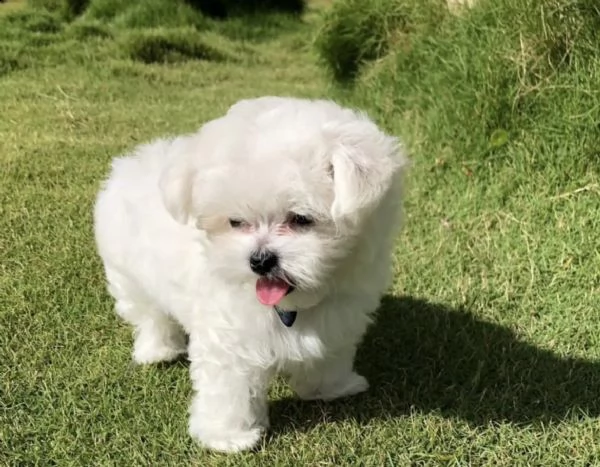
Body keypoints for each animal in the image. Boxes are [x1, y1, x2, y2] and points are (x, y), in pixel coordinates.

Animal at [94, 97, 408, 452]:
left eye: (301, 219)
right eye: (236, 222)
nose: (260, 260)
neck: (291, 306)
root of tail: (132, 163)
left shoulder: (339, 316)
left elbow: (329, 354)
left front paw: (332, 388)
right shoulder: (228, 336)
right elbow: (230, 386)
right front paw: (228, 436)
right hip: (127, 275)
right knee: (149, 315)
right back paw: (156, 350)